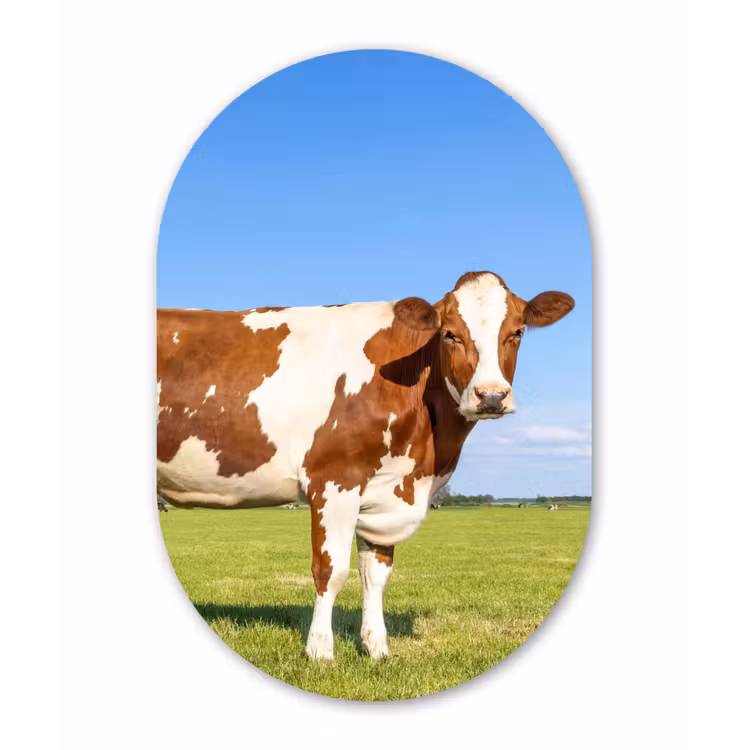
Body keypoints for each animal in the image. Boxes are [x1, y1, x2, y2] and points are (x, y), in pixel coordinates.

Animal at [156, 271, 574, 660]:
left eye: (517, 332)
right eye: (450, 334)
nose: (490, 396)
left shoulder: (386, 490)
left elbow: (375, 574)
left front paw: (376, 648)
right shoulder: (334, 481)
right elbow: (331, 570)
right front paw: (320, 652)